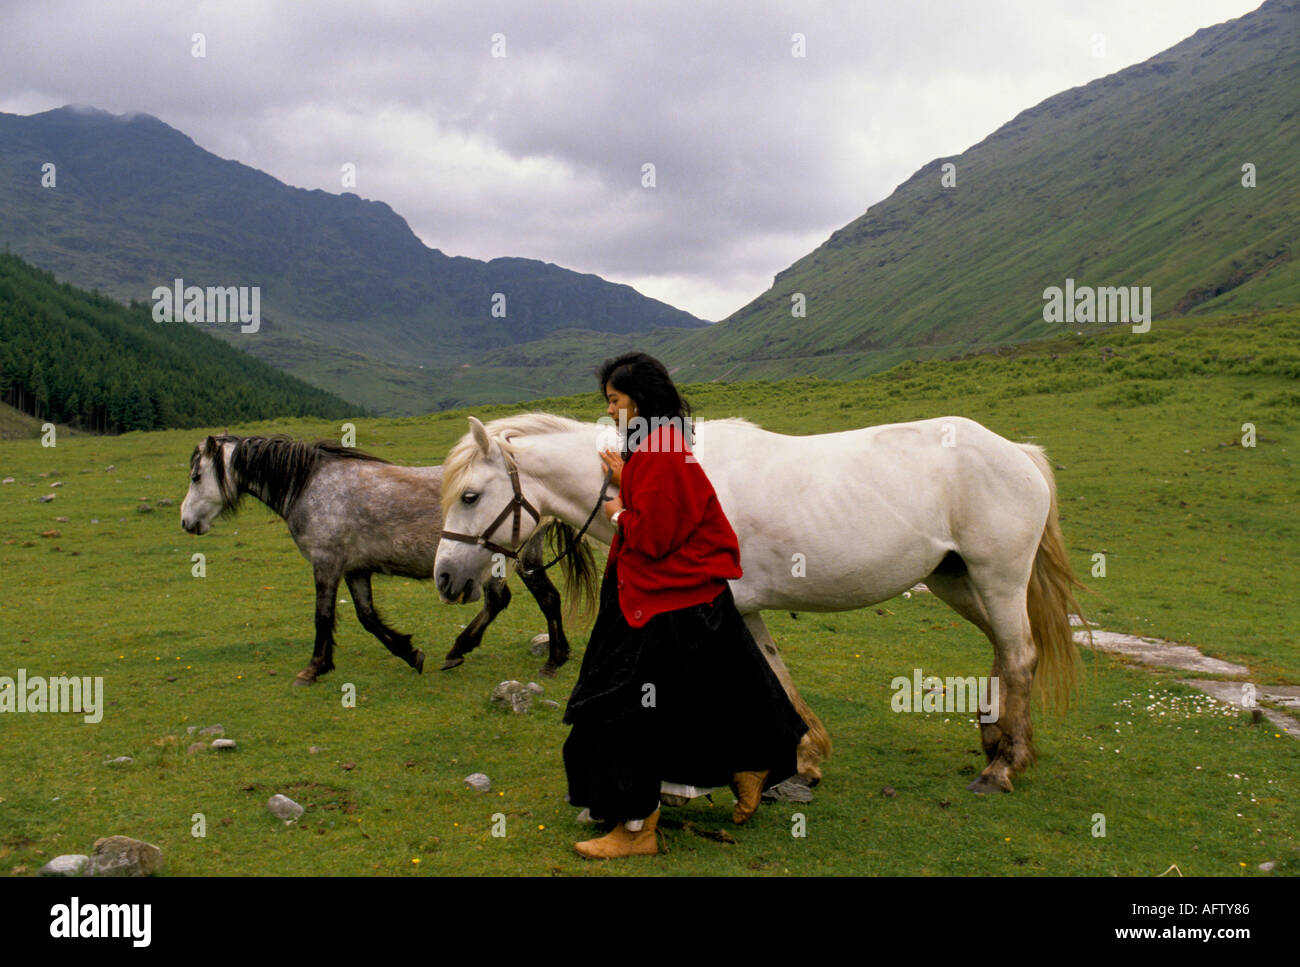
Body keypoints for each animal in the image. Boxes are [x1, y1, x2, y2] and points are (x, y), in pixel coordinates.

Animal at [431, 410, 1081, 790]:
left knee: (1020, 655)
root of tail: (1017, 450)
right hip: (957, 580)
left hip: (997, 577)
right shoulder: (742, 607)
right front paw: (808, 756)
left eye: (469, 495)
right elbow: (776, 672)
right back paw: (997, 741)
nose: (443, 578)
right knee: (1004, 648)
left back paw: (1003, 765)